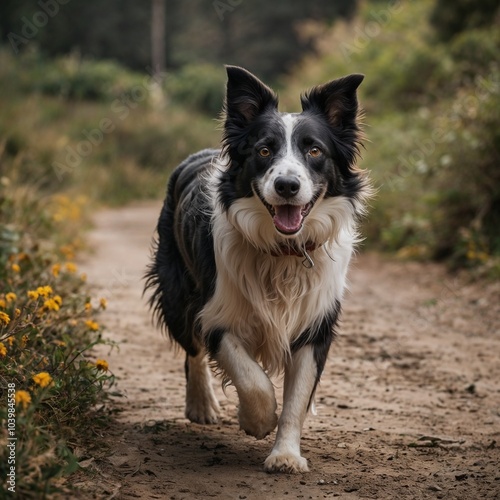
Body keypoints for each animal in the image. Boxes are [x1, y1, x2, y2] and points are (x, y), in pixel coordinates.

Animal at [143, 66, 370, 472]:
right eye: (264, 150)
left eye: (314, 150)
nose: (287, 185)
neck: (284, 252)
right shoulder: (217, 312)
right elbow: (252, 379)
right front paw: (257, 420)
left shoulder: (315, 322)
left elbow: (297, 397)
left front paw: (285, 455)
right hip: (177, 291)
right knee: (192, 349)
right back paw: (202, 404)